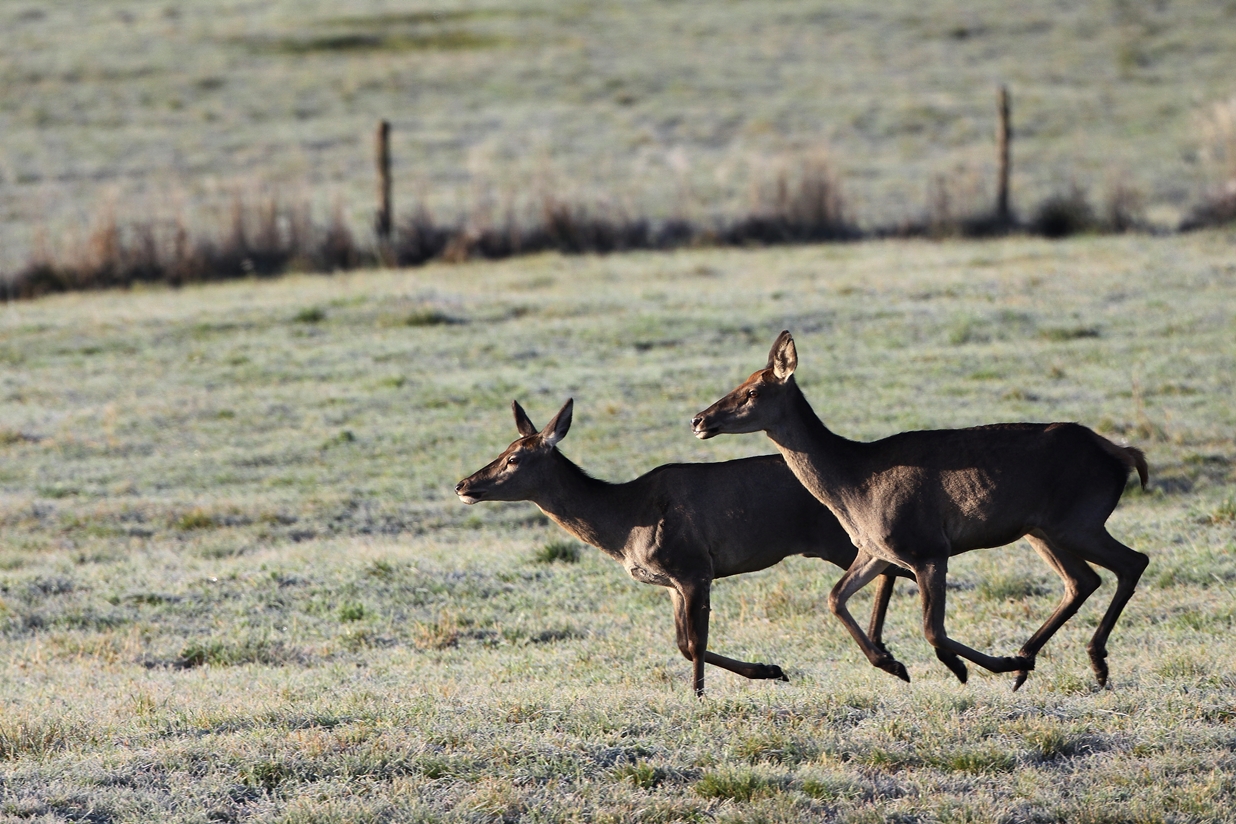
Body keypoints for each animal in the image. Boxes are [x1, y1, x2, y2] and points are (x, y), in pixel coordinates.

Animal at [454, 398, 961, 696]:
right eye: (502, 450)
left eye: (514, 458)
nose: (464, 484)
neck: (624, 523)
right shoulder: (671, 583)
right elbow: (683, 644)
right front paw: (769, 669)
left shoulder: (693, 566)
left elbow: (695, 643)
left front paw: (699, 698)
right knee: (890, 571)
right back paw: (887, 654)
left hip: (840, 537)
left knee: (894, 568)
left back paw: (889, 657)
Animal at [691, 331, 1149, 690]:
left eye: (752, 391)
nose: (699, 420)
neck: (854, 485)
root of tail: (1122, 455)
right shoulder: (876, 549)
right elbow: (835, 597)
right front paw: (892, 664)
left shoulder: (928, 547)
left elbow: (932, 629)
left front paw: (971, 667)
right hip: (1042, 530)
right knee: (1082, 579)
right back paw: (1032, 660)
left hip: (1078, 519)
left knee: (1133, 561)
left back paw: (1087, 661)